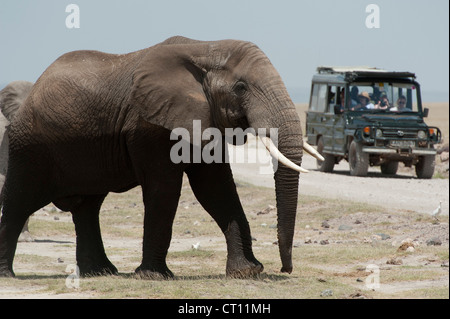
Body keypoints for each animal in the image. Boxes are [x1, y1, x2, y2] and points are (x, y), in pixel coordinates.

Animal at [0, 36, 324, 278]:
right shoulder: (147, 125)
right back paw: (8, 274)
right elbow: (165, 188)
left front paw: (247, 272)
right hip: (29, 145)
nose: (285, 269)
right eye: (241, 87)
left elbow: (216, 189)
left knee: (88, 207)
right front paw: (154, 276)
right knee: (19, 200)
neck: (205, 47)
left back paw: (101, 272)